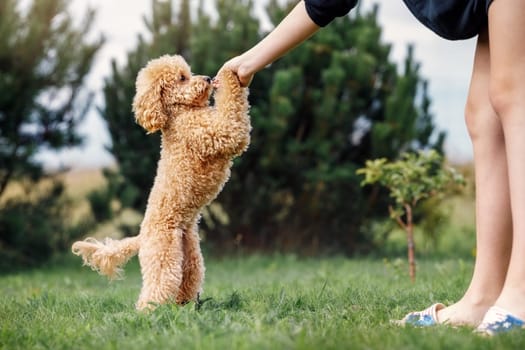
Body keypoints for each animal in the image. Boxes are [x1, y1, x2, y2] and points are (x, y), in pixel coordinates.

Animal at [71, 55, 250, 312]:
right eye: (182, 78)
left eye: (189, 73)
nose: (207, 78)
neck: (180, 112)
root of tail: (141, 236)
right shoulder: (220, 131)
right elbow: (232, 114)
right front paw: (229, 74)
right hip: (163, 253)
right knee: (157, 287)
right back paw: (147, 312)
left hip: (190, 255)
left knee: (187, 282)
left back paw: (185, 307)